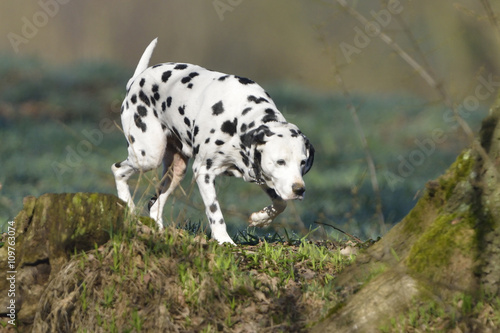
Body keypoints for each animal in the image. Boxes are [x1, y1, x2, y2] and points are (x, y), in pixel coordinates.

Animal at [113, 38, 314, 244]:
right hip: (147, 156)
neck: (238, 117)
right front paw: (224, 241)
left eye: (302, 162)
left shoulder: (260, 174)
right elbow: (215, 212)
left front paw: (261, 218)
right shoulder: (204, 172)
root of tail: (136, 80)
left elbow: (281, 203)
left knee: (154, 206)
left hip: (176, 171)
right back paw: (129, 208)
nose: (299, 190)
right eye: (280, 162)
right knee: (118, 170)